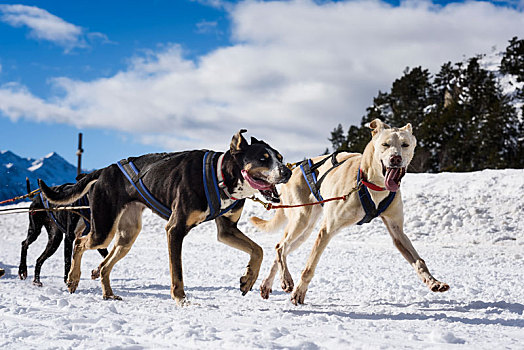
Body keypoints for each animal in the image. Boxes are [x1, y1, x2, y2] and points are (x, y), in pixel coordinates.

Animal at [39, 130, 290, 304]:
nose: (287, 171)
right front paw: (180, 299)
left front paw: (248, 279)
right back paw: (73, 278)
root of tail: (105, 170)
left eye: (279, 157)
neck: (220, 176)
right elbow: (177, 272)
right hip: (104, 228)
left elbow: (258, 249)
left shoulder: (226, 230)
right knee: (80, 242)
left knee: (103, 266)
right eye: (263, 158)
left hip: (127, 236)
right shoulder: (175, 230)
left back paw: (108, 293)